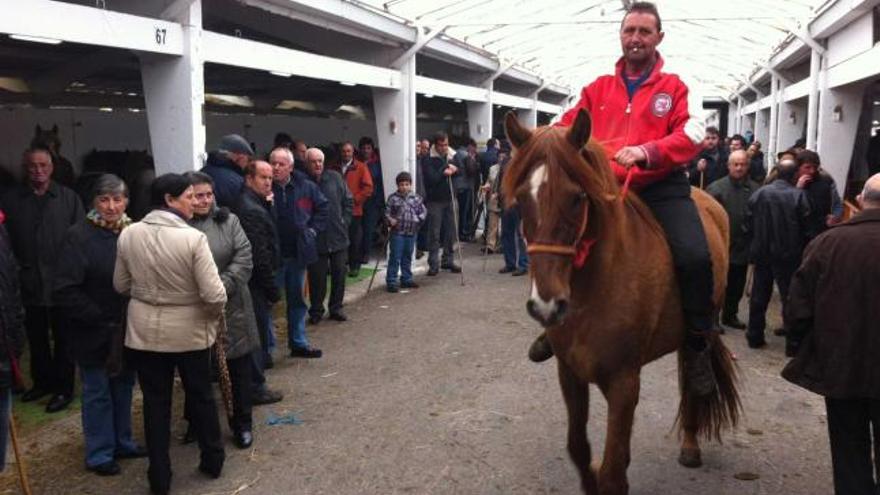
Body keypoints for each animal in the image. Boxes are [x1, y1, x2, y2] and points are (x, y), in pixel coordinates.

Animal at [502, 109, 744, 495]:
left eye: (576, 197)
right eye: (523, 198)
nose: (546, 306)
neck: (595, 289)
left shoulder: (624, 382)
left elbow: (614, 474)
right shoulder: (570, 373)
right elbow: (579, 448)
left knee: (691, 375)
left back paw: (691, 443)